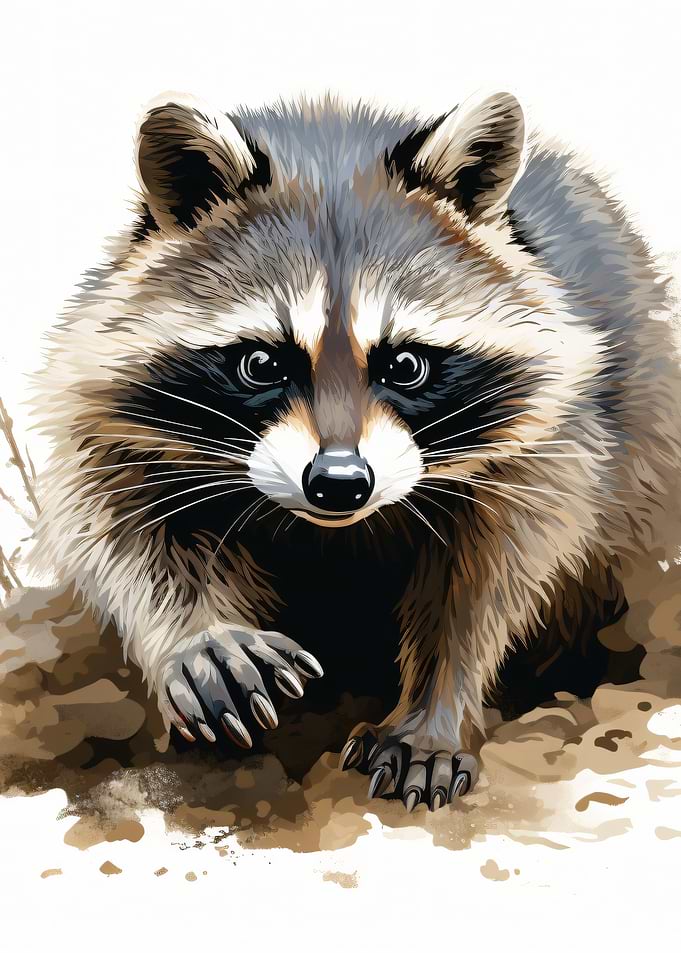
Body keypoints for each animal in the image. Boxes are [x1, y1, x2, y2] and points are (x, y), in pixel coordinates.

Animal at [33, 90, 681, 811]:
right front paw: (200, 636)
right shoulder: (109, 402)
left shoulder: (551, 437)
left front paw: (432, 710)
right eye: (261, 363)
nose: (340, 481)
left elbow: (485, 584)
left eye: (405, 365)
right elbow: (121, 523)